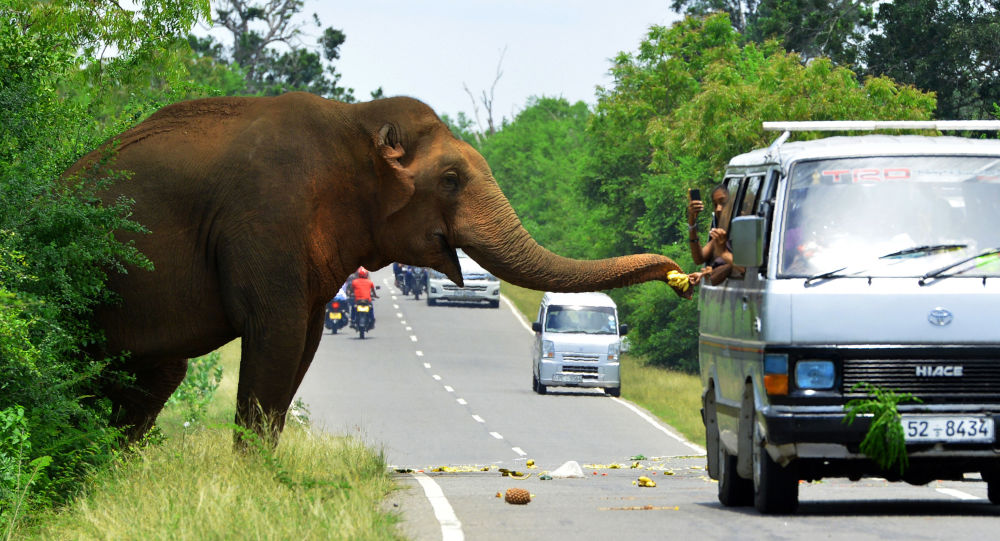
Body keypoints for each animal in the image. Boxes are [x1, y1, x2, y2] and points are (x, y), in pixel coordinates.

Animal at [66, 90, 692, 440]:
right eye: (450, 179)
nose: (681, 278)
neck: (354, 124)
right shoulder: (265, 220)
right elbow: (275, 336)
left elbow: (303, 344)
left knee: (152, 379)